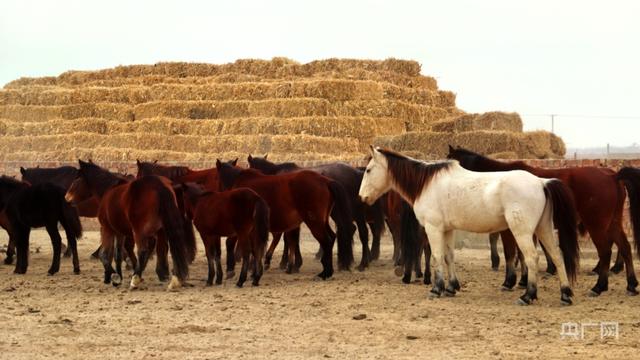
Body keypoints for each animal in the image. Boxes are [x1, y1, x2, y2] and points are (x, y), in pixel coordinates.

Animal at [67, 160, 195, 290]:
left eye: (77, 178)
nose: (67, 197)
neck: (108, 190)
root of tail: (158, 185)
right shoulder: (119, 232)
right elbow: (117, 254)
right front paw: (117, 278)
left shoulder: (107, 229)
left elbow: (104, 254)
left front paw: (114, 276)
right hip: (164, 229)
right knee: (172, 248)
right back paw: (174, 278)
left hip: (139, 231)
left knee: (143, 251)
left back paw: (135, 279)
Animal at [216, 160, 356, 278]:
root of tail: (326, 181)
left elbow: (231, 243)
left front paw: (232, 269)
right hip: (323, 221)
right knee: (332, 237)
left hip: (314, 222)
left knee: (326, 241)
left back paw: (325, 273)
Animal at [360, 145, 580, 306]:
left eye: (369, 170)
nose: (362, 197)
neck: (426, 183)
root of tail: (542, 183)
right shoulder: (448, 229)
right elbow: (449, 256)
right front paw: (451, 287)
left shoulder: (433, 228)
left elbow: (437, 256)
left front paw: (436, 289)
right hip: (543, 229)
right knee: (557, 256)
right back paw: (565, 294)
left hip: (523, 232)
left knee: (532, 258)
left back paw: (528, 296)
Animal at [450, 145, 640, 296]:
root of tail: (612, 176)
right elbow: (524, 253)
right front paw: (524, 280)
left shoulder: (510, 229)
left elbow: (511, 253)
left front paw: (510, 281)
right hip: (613, 222)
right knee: (625, 247)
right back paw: (630, 284)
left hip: (597, 224)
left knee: (606, 251)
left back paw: (599, 286)